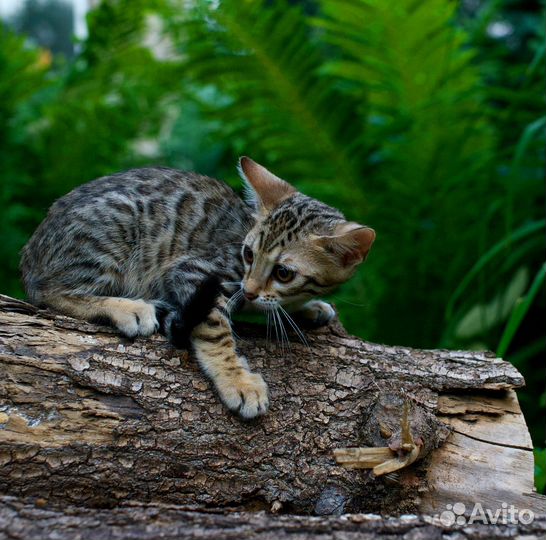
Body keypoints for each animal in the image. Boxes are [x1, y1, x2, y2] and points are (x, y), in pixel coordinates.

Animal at [20, 156, 374, 418]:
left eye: (284, 273)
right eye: (248, 254)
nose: (249, 290)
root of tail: (31, 253)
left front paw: (307, 308)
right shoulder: (195, 271)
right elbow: (215, 327)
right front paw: (237, 380)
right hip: (113, 228)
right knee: (50, 291)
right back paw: (128, 308)